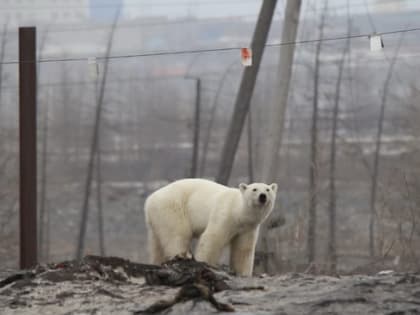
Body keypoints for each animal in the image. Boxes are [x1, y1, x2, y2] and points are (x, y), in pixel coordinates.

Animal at [143, 179, 278, 278]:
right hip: (172, 208)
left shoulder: (247, 228)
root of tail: (149, 200)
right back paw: (183, 257)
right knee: (177, 235)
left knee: (157, 245)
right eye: (254, 189)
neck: (238, 212)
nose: (262, 196)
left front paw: (243, 273)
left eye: (267, 189)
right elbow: (212, 238)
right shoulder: (225, 214)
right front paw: (204, 264)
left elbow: (243, 249)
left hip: (156, 220)